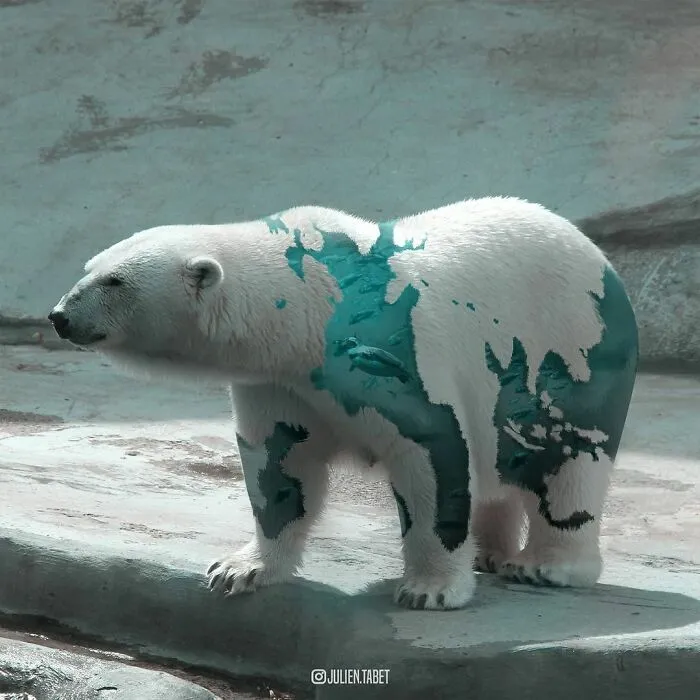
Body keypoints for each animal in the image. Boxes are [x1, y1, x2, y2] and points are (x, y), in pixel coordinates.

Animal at [48, 196, 639, 611]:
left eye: (114, 281)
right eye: (89, 266)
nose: (59, 315)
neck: (316, 305)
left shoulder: (391, 356)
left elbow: (430, 457)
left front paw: (429, 589)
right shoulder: (279, 382)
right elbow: (280, 464)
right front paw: (238, 570)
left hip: (570, 352)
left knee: (566, 464)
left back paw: (545, 566)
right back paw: (491, 553)